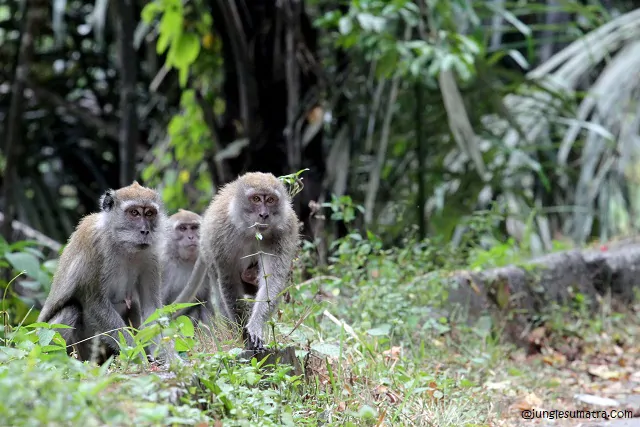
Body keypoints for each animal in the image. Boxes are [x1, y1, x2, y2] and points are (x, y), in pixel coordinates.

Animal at [36, 181, 168, 364]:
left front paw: (169, 356)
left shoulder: (151, 256)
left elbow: (151, 308)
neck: (121, 243)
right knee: (71, 309)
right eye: (134, 212)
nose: (145, 231)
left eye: (149, 213)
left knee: (133, 305)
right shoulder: (94, 245)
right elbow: (95, 304)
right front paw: (137, 356)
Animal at [170, 172, 300, 352]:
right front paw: (241, 330)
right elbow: (228, 280)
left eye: (270, 200)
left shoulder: (285, 231)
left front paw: (255, 326)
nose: (264, 215)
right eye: (256, 199)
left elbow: (273, 280)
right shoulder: (221, 233)